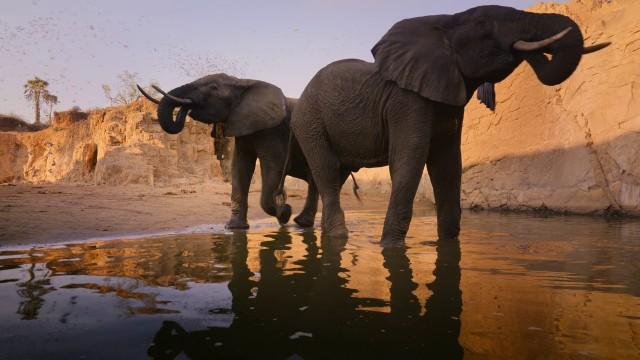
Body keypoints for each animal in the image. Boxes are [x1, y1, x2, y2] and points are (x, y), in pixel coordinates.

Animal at [137, 74, 318, 229]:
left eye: (213, 87)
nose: (188, 108)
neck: (241, 82)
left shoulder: (272, 130)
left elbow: (274, 165)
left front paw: (284, 212)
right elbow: (240, 166)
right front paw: (234, 228)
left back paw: (299, 222)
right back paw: (302, 223)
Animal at [290, 5, 608, 243]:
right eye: (483, 23)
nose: (522, 50)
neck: (445, 21)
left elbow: (448, 164)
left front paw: (446, 243)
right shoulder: (408, 100)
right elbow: (410, 159)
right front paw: (389, 246)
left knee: (337, 173)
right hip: (309, 120)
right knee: (327, 170)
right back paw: (337, 237)